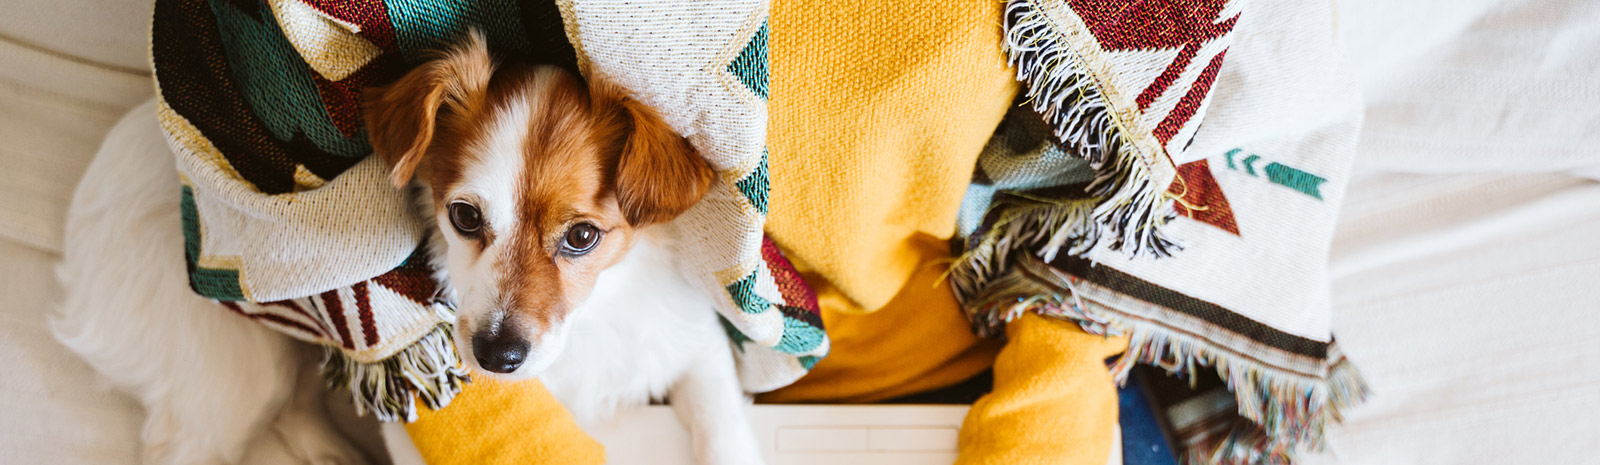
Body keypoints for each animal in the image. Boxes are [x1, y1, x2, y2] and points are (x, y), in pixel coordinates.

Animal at [53, 33, 764, 465]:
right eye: (464, 217)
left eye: (583, 237)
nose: (496, 357)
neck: (591, 326)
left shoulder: (695, 348)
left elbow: (724, 436)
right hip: (235, 374)